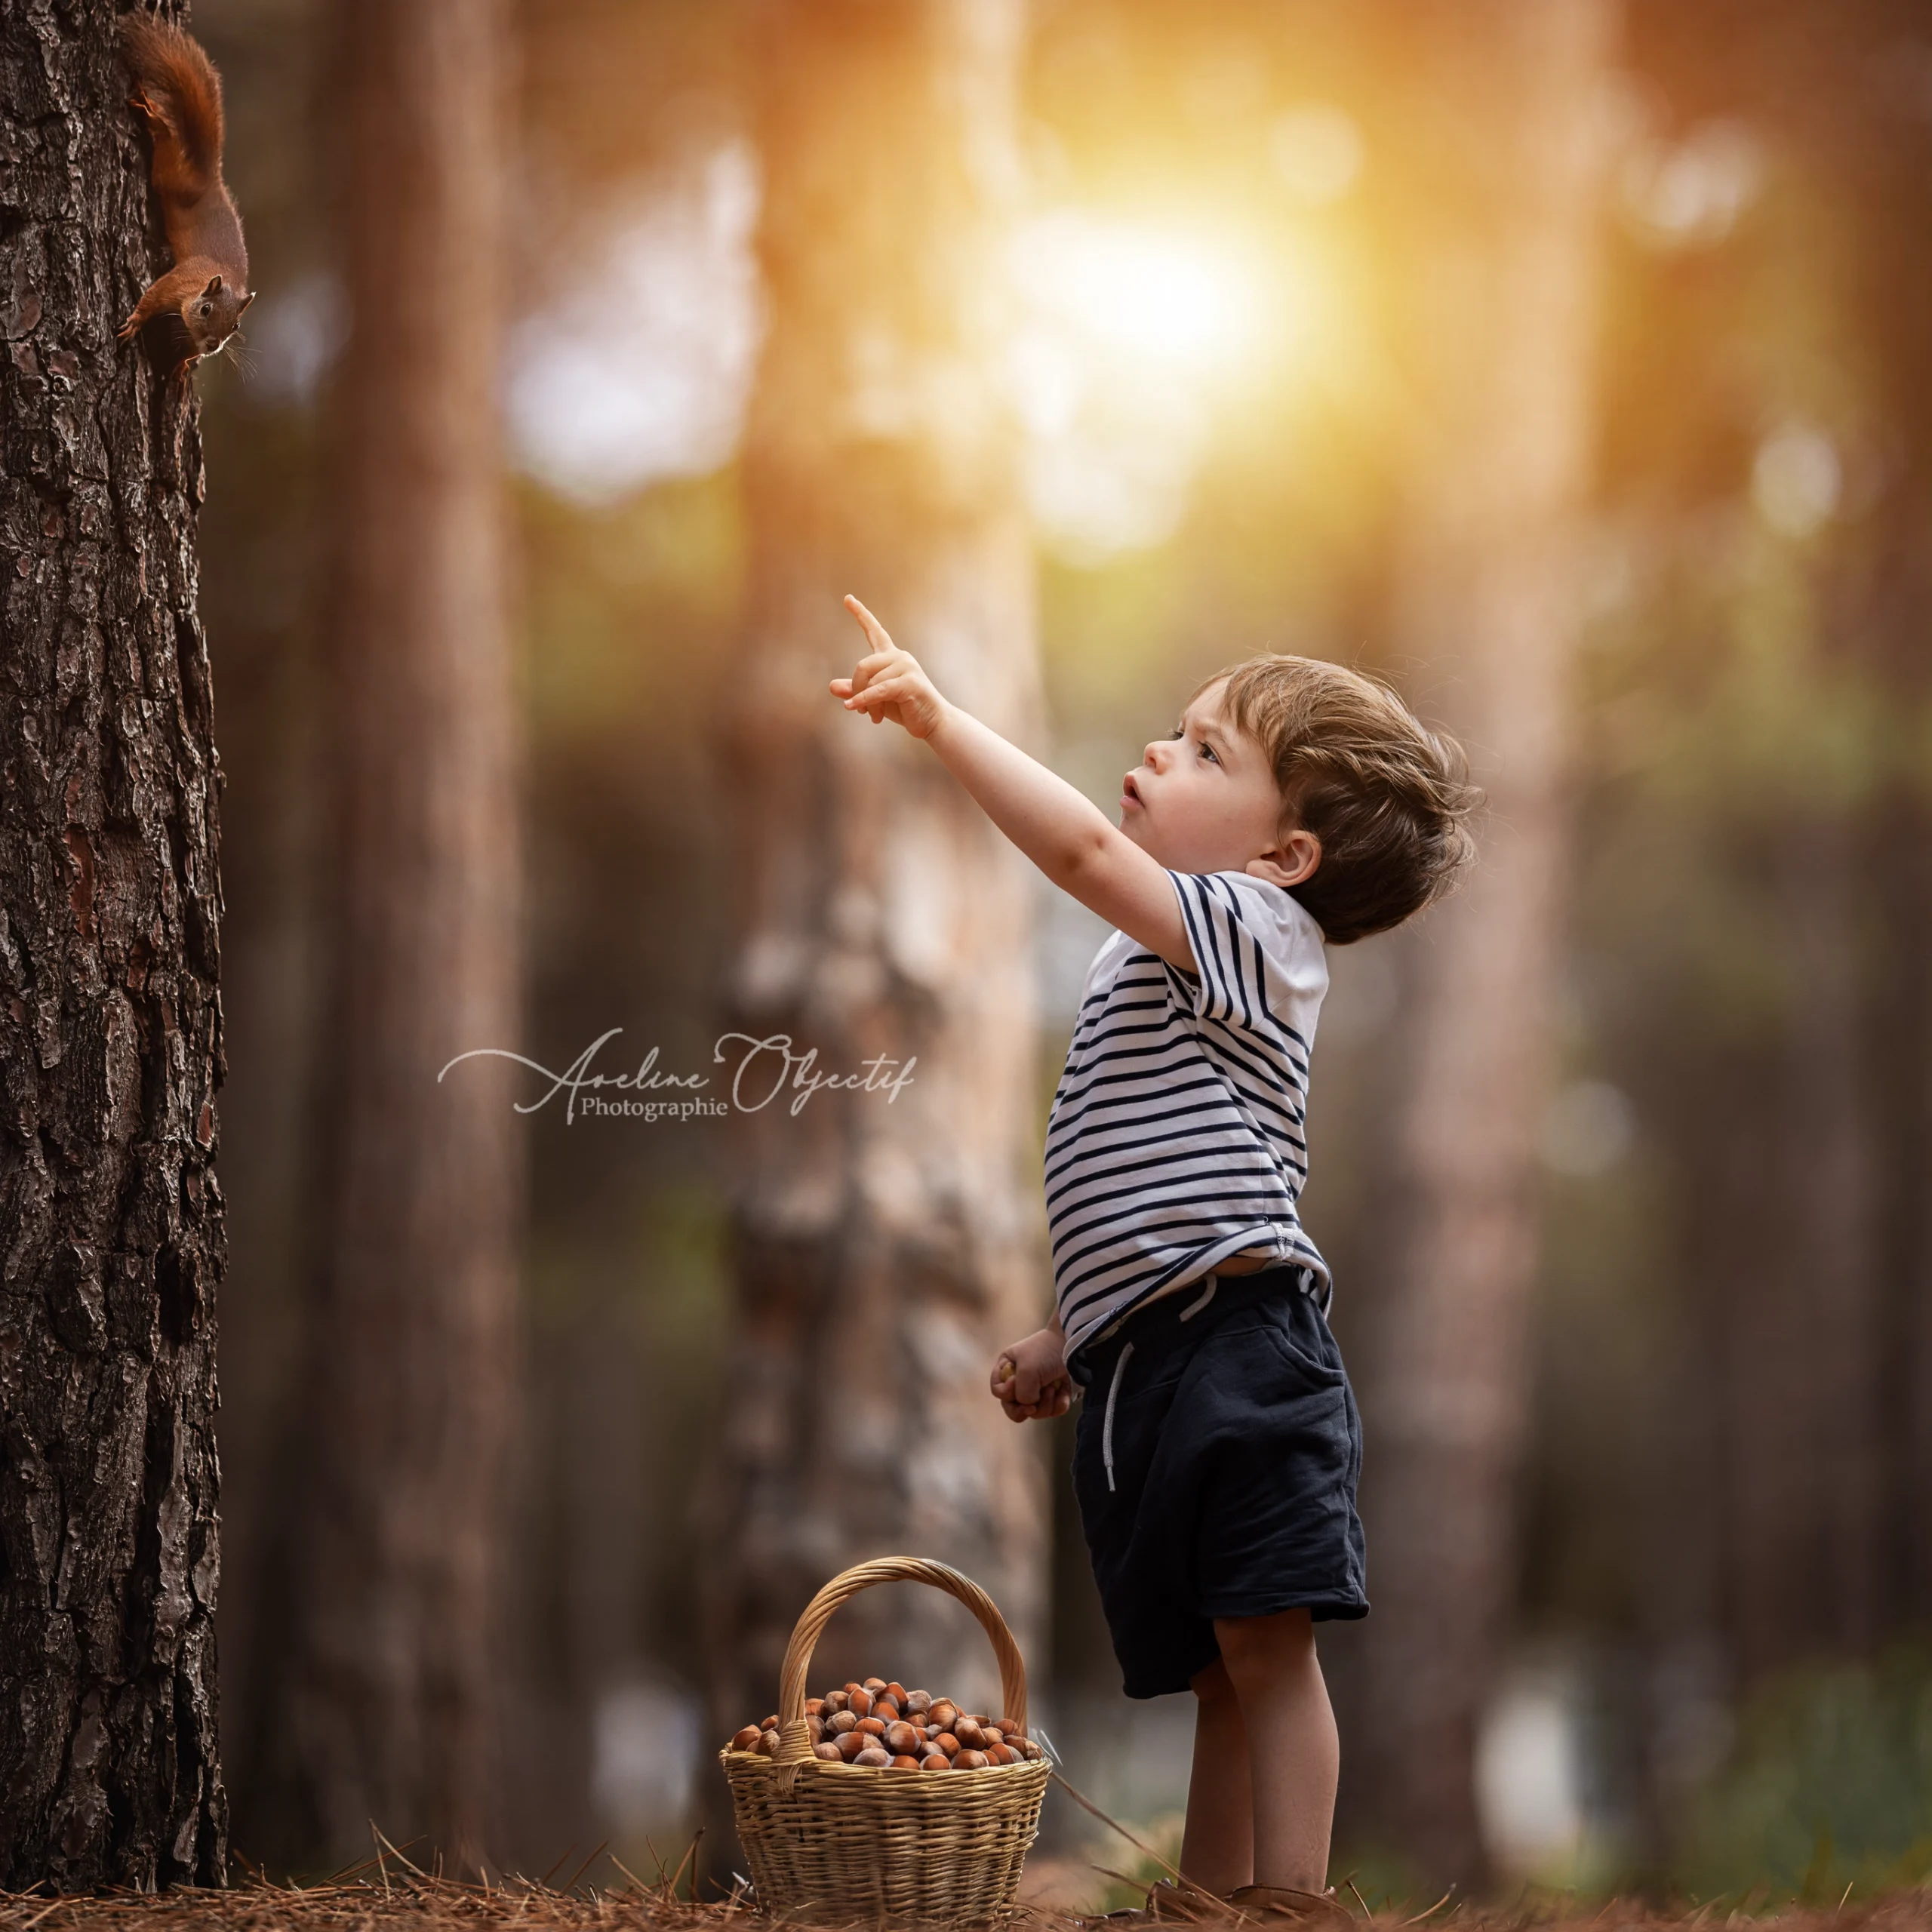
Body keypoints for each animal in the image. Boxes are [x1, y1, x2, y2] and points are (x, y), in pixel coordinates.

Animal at [117, 11, 253, 365]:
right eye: (206, 309)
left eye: (236, 326)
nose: (213, 345)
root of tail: (211, 179)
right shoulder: (177, 282)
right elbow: (150, 297)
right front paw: (136, 320)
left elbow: (188, 352)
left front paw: (182, 367)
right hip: (170, 177)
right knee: (166, 140)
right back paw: (149, 114)